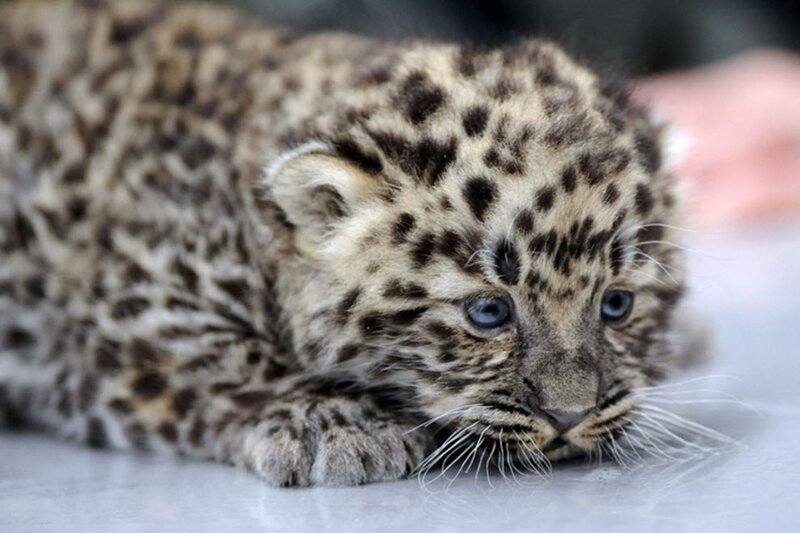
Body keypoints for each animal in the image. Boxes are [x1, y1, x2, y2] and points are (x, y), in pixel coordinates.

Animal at [0, 0, 697, 486]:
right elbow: (227, 358)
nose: (570, 417)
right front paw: (339, 427)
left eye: (617, 305)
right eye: (487, 313)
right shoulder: (122, 313)